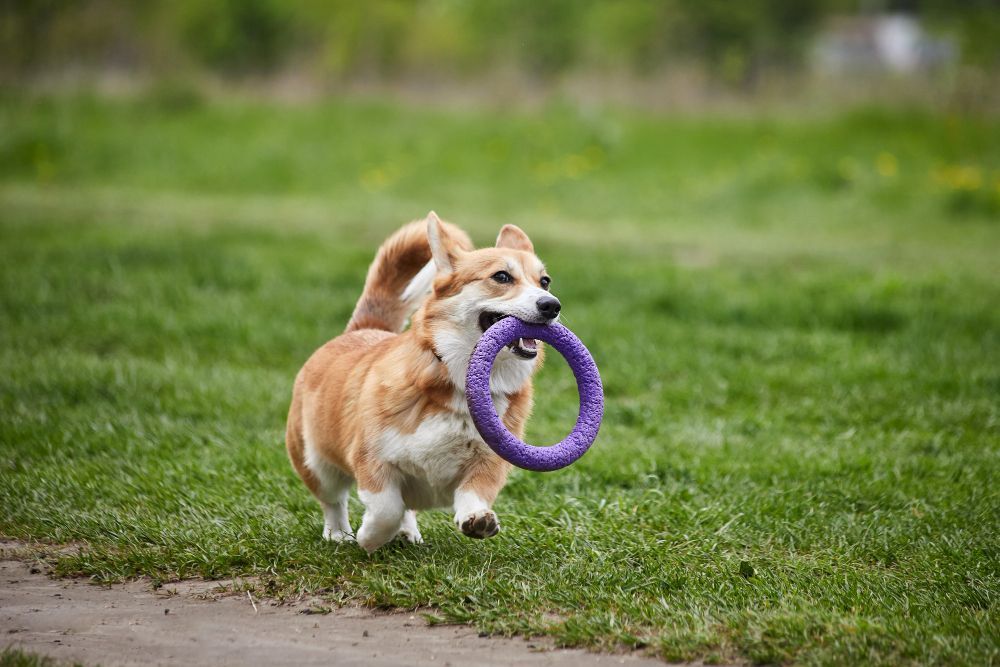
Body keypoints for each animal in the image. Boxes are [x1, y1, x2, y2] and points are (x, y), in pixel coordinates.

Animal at [286, 213, 560, 552]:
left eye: (544, 281)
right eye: (501, 276)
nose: (552, 305)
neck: (458, 384)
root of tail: (362, 328)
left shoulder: (490, 461)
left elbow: (473, 493)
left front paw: (478, 520)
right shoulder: (372, 460)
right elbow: (386, 509)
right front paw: (368, 537)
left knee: (406, 508)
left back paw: (408, 533)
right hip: (315, 463)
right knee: (334, 501)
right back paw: (339, 534)